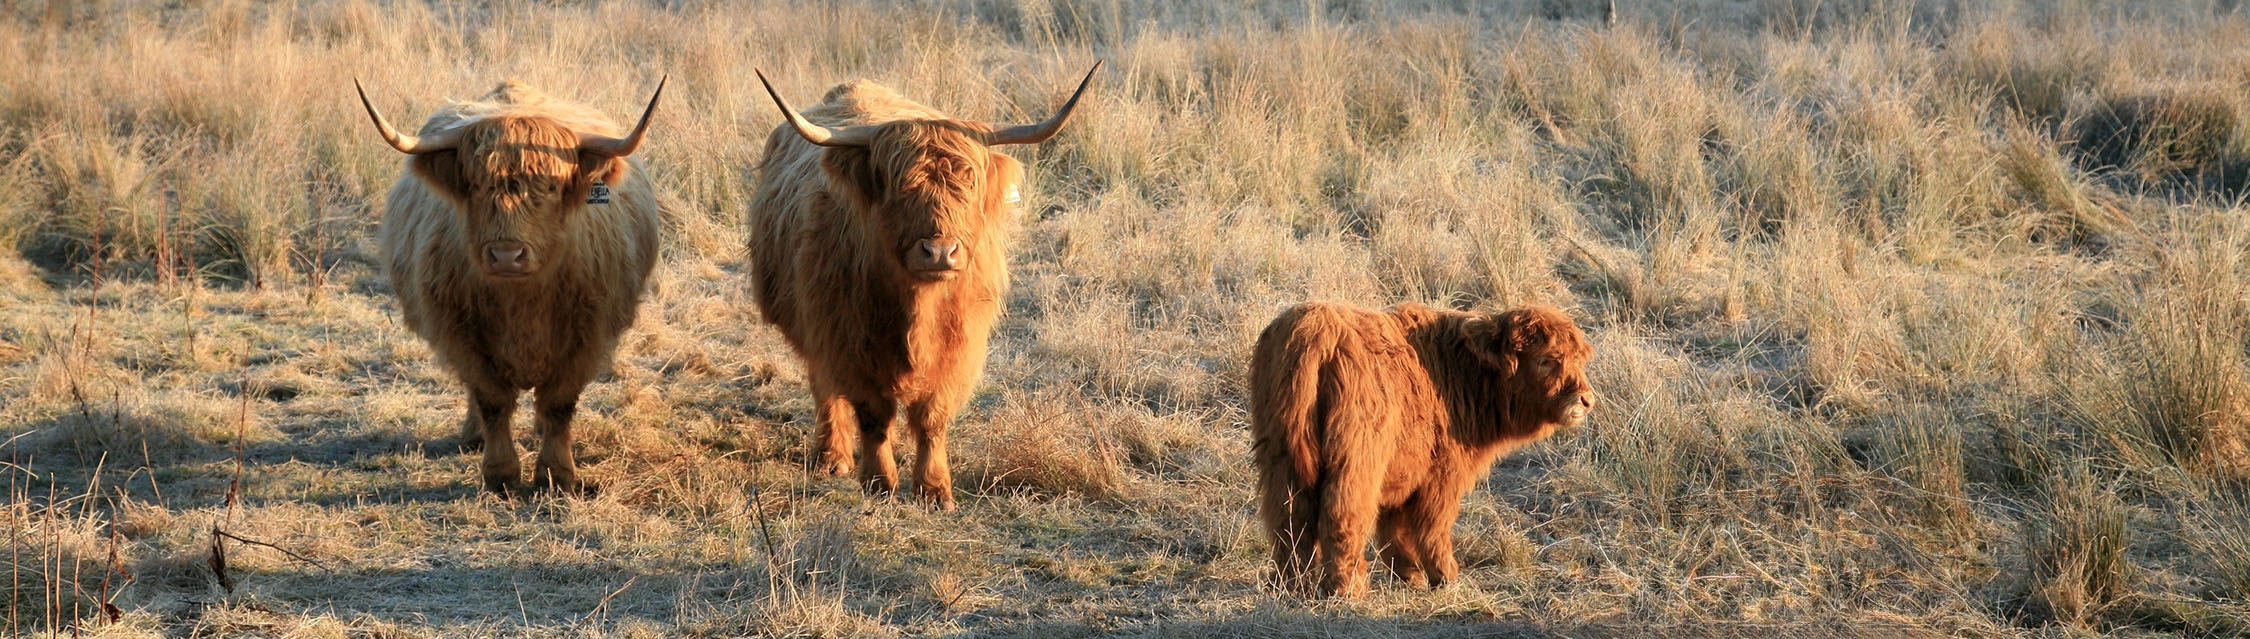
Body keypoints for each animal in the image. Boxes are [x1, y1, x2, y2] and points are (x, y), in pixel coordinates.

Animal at [354, 77, 666, 496]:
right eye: (475, 185)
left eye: (551, 187)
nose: (506, 255)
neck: (523, 303)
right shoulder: (461, 334)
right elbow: (492, 401)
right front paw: (501, 473)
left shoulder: (587, 335)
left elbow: (558, 404)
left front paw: (556, 474)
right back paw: (473, 436)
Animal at [746, 63, 1099, 511]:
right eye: (902, 187)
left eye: (968, 185)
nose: (939, 251)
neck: (919, 306)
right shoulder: (846, 340)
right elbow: (873, 415)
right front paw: (880, 483)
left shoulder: (959, 347)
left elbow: (932, 417)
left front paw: (934, 491)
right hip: (815, 328)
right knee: (824, 387)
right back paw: (833, 457)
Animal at [1249, 302, 1597, 597]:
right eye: (1547, 360)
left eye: (1578, 360)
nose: (1586, 399)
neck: (1460, 372)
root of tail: (1315, 328)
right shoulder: (1441, 474)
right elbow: (1432, 525)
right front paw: (1444, 575)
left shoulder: (1405, 471)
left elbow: (1395, 529)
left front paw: (1410, 575)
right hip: (1358, 459)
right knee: (1342, 513)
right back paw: (1348, 587)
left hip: (1281, 454)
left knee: (1289, 516)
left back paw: (1291, 584)